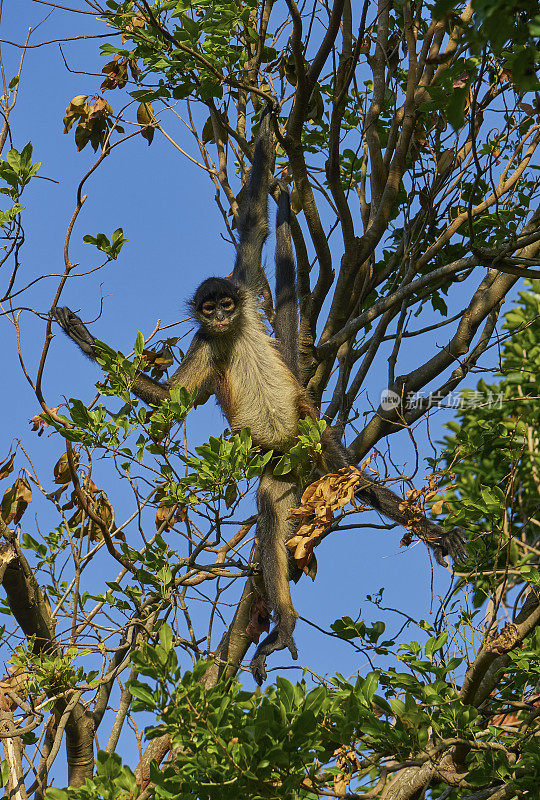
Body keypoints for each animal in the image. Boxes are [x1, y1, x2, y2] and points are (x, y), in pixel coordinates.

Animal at [51, 104, 464, 680]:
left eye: (226, 302)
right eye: (208, 309)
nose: (221, 315)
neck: (228, 331)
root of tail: (298, 456)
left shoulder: (244, 284)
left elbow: (255, 228)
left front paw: (268, 127)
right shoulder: (205, 342)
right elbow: (174, 402)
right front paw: (84, 338)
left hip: (314, 438)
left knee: (348, 473)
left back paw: (417, 525)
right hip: (283, 467)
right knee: (271, 507)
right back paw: (285, 620)